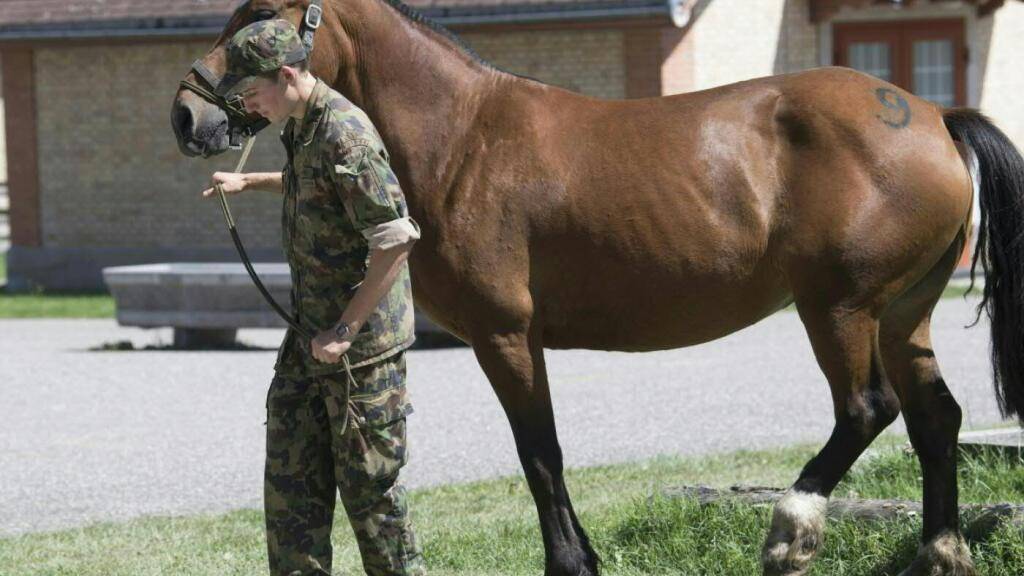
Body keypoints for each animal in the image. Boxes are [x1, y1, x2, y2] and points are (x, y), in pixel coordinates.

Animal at [171, 1, 1024, 574]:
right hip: (903, 315)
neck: (463, 139)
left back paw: (791, 530)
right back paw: (940, 551)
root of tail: (932, 116)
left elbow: (539, 453)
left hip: (839, 309)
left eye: (259, 19)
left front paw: (571, 561)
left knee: (866, 410)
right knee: (936, 419)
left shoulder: (505, 336)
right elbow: (544, 453)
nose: (186, 116)